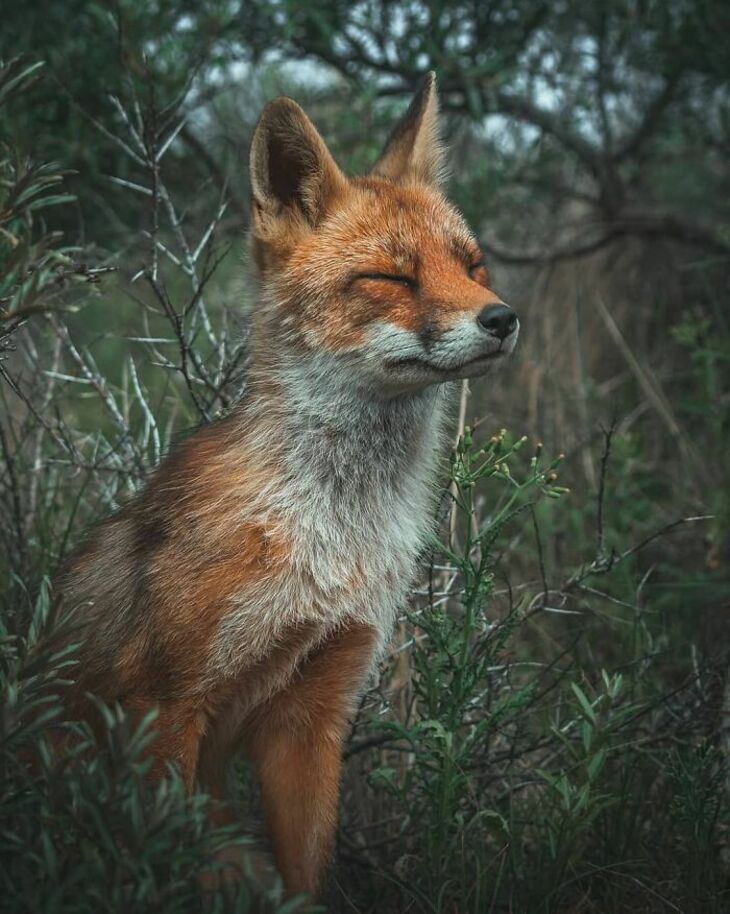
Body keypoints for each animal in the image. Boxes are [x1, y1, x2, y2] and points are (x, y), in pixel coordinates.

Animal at [55, 73, 516, 896]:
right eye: (390, 278)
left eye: (472, 266)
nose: (503, 318)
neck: (331, 530)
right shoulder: (164, 704)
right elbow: (168, 863)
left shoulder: (315, 712)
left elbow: (307, 871)